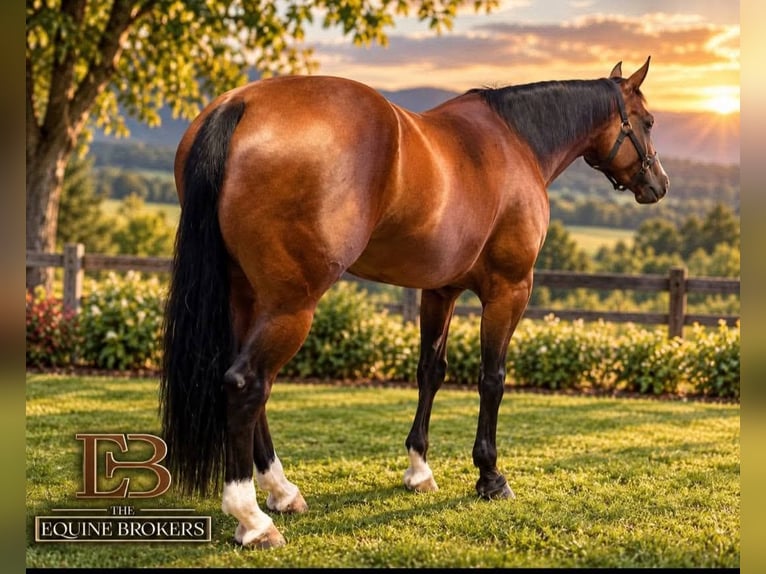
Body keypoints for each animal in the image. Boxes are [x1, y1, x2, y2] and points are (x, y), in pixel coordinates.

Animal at [160, 58, 669, 549]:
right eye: (647, 121)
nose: (659, 184)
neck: (516, 141)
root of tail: (242, 104)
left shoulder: (439, 290)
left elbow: (430, 372)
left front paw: (419, 469)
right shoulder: (510, 290)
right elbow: (492, 379)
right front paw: (490, 476)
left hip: (247, 296)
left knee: (252, 387)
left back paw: (282, 491)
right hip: (290, 304)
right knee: (247, 384)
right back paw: (253, 520)